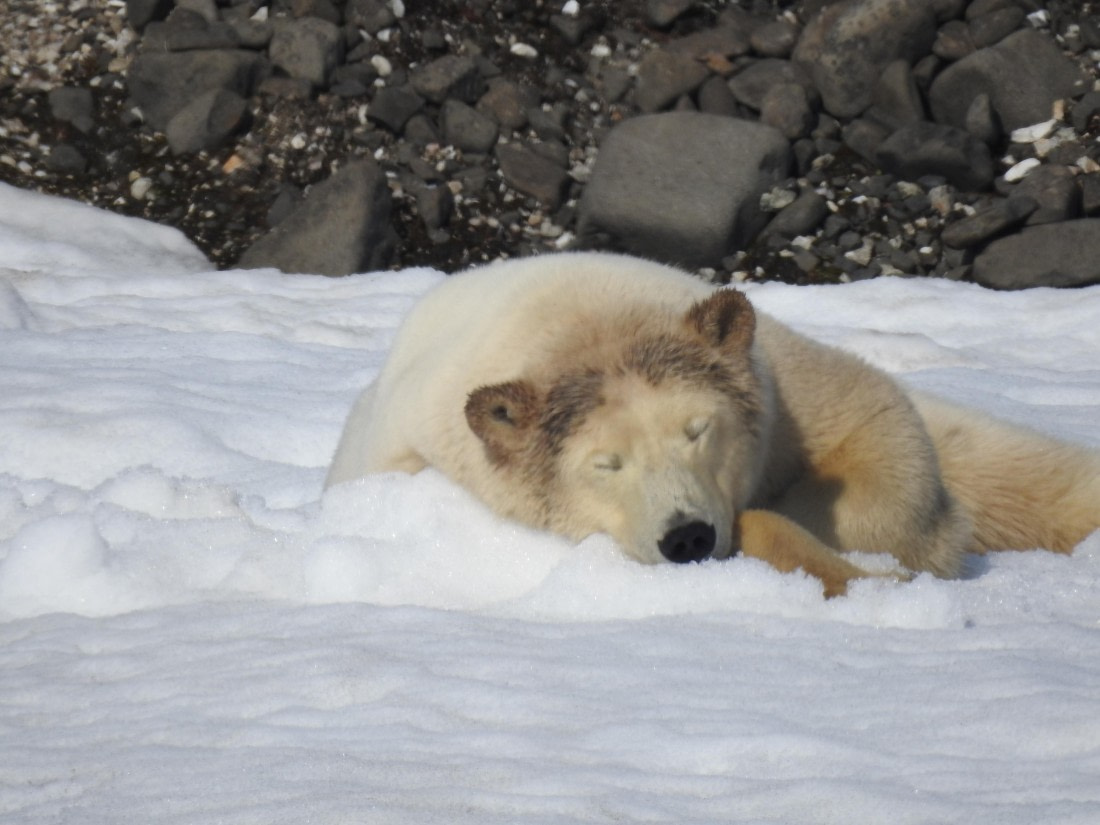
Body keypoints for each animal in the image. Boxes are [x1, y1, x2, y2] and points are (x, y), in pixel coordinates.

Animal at [326, 252, 1100, 597]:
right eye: (605, 463)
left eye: (698, 430)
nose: (688, 536)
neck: (581, 327)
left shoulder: (778, 381)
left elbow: (875, 427)